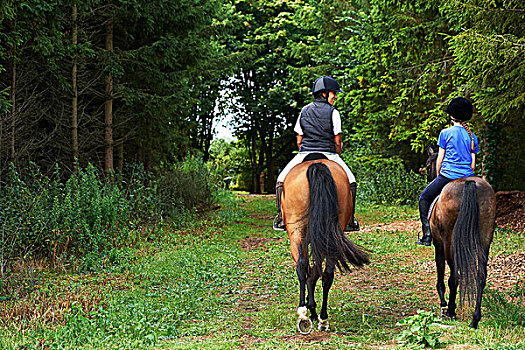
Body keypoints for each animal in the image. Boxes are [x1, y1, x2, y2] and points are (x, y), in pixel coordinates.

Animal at [278, 158, 368, 334]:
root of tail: (316, 164)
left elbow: (309, 272)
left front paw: (310, 308)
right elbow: (315, 272)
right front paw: (312, 308)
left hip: (297, 232)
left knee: (303, 266)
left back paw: (305, 315)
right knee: (327, 273)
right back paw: (321, 318)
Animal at [426, 146, 496, 328]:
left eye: (428, 165)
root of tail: (469, 183)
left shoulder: (438, 245)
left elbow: (441, 275)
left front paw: (443, 304)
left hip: (449, 243)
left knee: (454, 277)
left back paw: (451, 310)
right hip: (485, 238)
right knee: (481, 275)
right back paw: (475, 319)